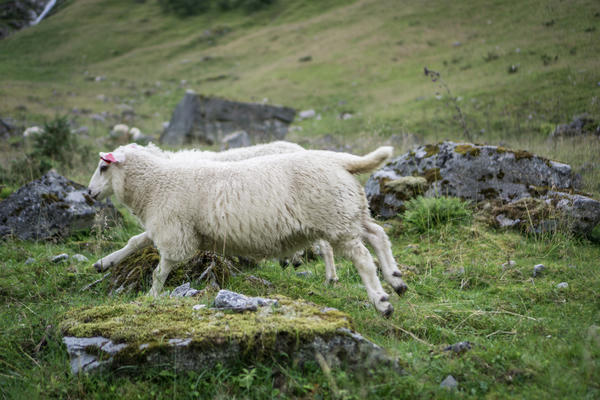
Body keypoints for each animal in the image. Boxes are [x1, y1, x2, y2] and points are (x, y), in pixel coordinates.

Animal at [88, 144, 408, 316]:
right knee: (378, 235)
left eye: (103, 168)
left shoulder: (174, 231)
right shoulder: (172, 226)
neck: (155, 182)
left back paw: (381, 301)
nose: (89, 193)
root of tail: (341, 160)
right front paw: (104, 263)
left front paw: (151, 297)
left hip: (334, 217)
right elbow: (135, 241)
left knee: (363, 258)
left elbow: (160, 269)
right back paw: (396, 280)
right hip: (348, 213)